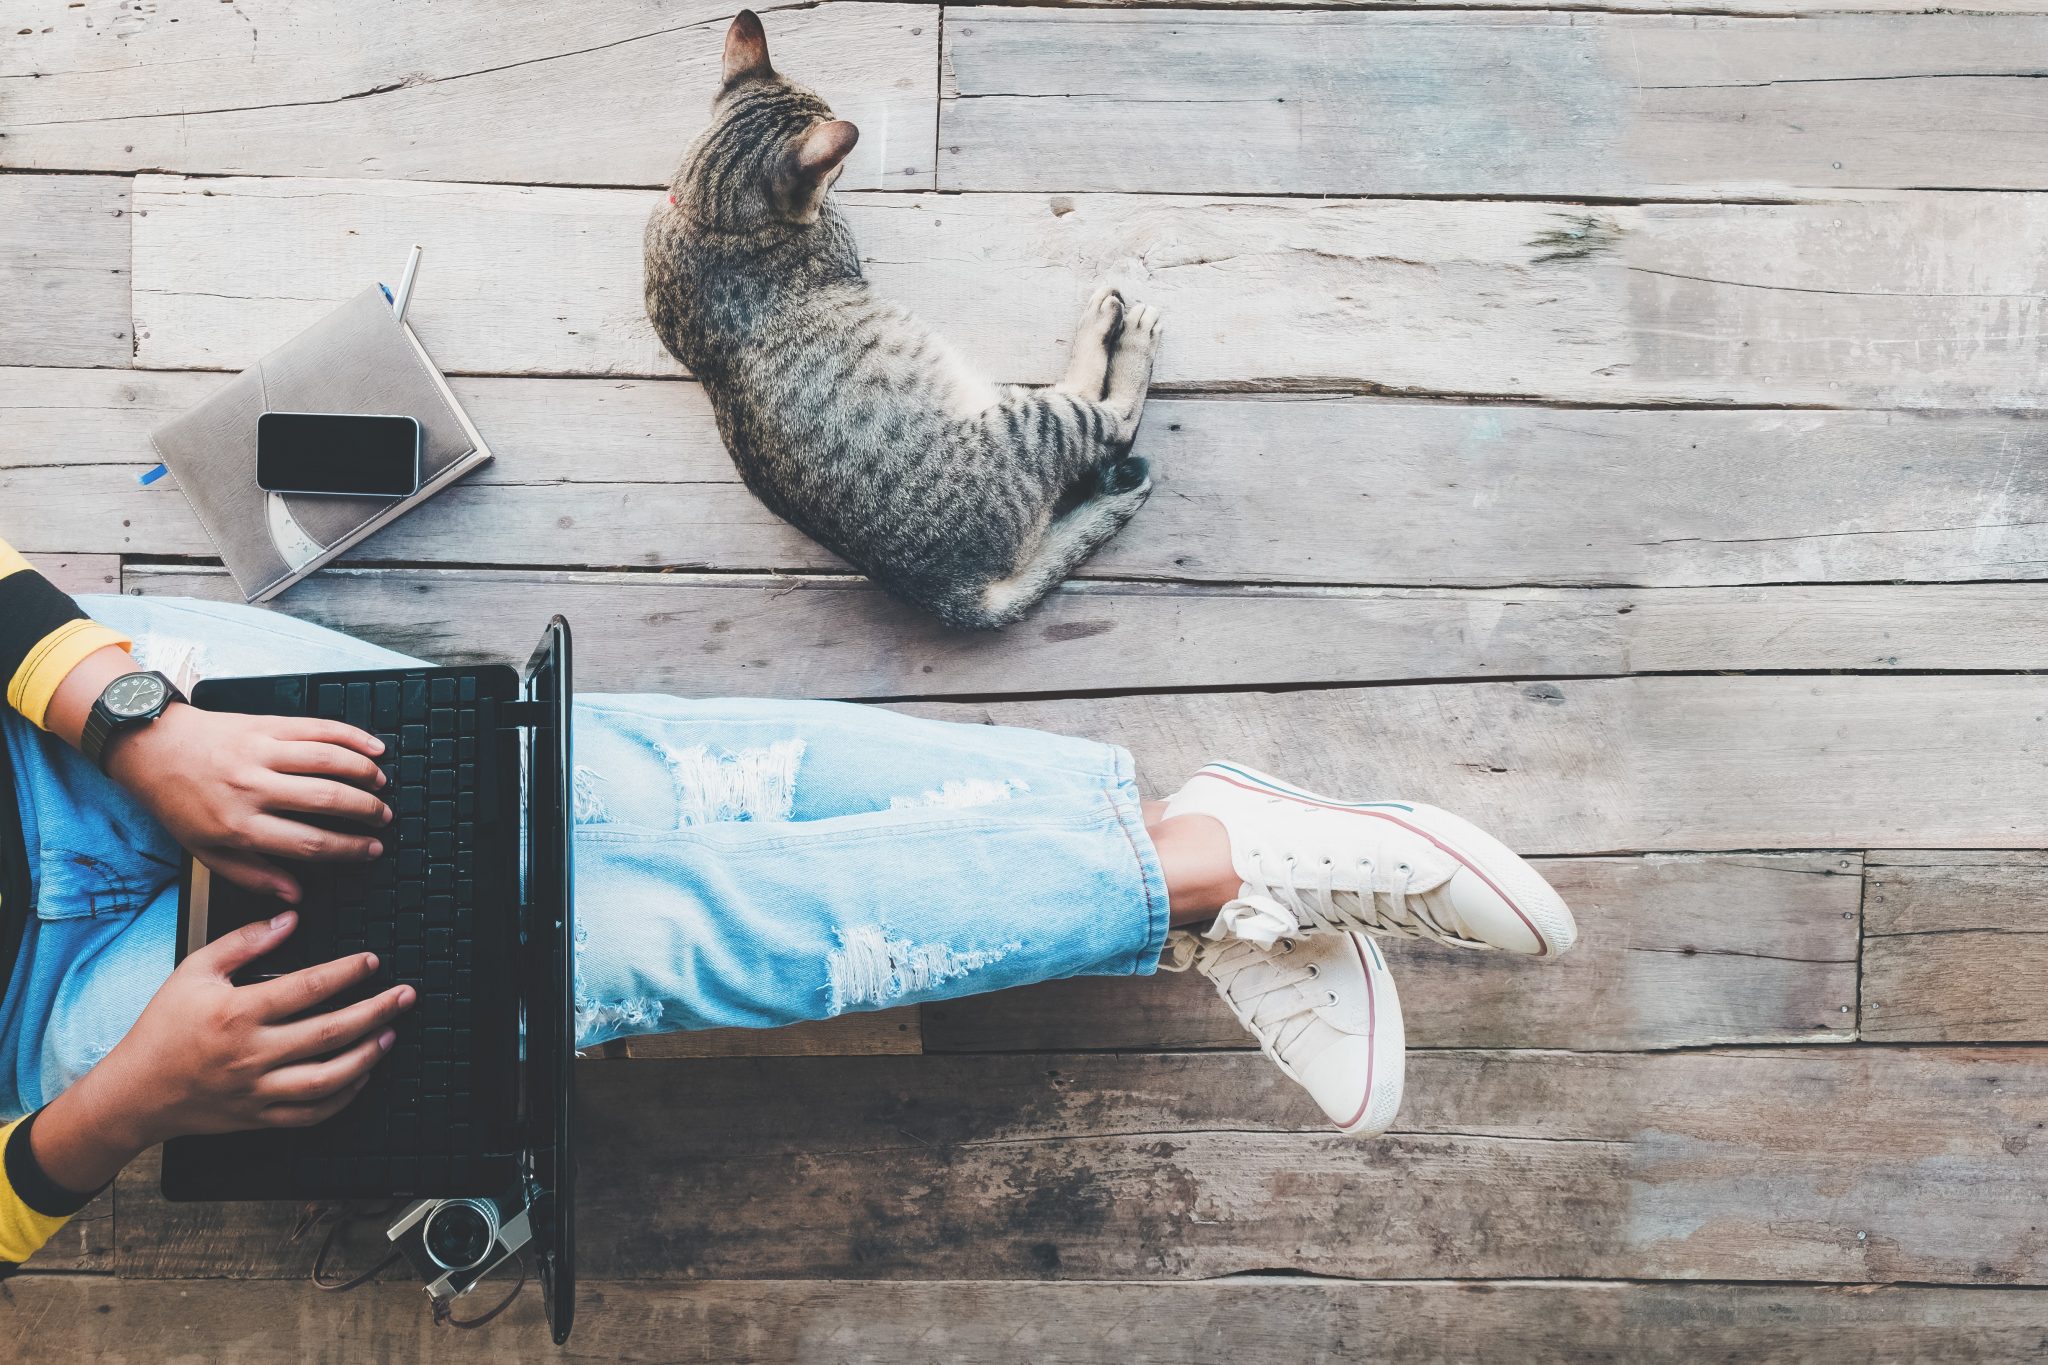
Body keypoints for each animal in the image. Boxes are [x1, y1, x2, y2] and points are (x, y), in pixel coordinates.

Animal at [647, 12, 1163, 630]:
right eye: (836, 166)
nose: (844, 170)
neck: (706, 213)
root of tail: (951, 594)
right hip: (1027, 423)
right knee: (1112, 421)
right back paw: (1120, 330)